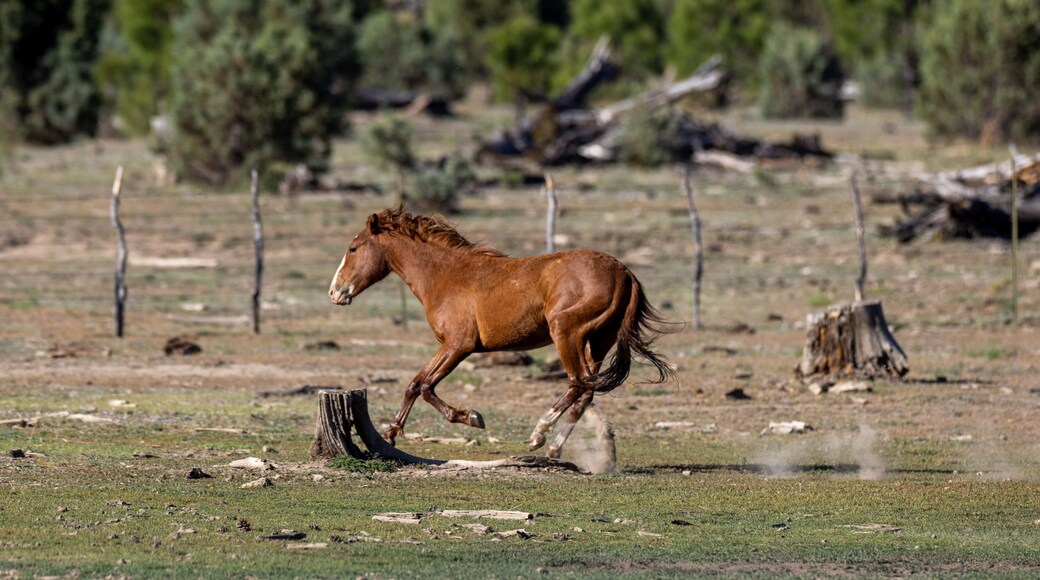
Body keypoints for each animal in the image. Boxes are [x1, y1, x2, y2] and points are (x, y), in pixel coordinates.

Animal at [329, 205, 675, 458]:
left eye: (353, 248)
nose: (335, 293)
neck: (445, 276)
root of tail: (625, 273)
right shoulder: (451, 346)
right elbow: (415, 384)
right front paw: (391, 433)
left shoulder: (458, 345)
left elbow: (426, 386)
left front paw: (470, 417)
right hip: (598, 342)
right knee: (586, 390)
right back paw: (554, 447)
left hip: (566, 334)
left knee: (577, 384)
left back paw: (539, 434)